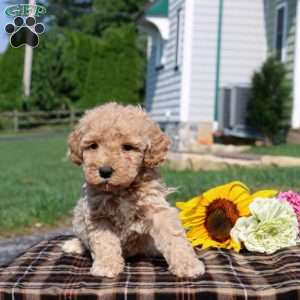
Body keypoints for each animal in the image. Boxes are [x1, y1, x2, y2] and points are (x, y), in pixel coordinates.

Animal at [62, 102, 205, 278]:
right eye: (93, 146)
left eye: (128, 147)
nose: (104, 171)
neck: (122, 189)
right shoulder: (98, 214)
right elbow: (104, 241)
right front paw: (107, 265)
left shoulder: (156, 207)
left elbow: (173, 234)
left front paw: (188, 264)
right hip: (78, 216)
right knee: (82, 238)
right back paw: (75, 244)